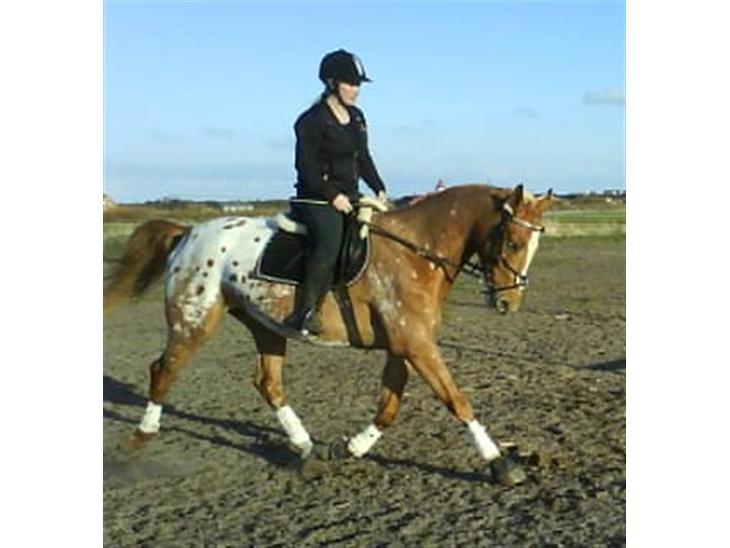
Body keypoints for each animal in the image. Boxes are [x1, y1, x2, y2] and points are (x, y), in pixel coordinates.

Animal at [104, 183, 554, 484]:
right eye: (513, 242)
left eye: (532, 247)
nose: (508, 304)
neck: (415, 252)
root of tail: (188, 233)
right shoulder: (416, 345)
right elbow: (456, 400)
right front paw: (500, 463)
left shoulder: (403, 347)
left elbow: (388, 408)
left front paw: (348, 447)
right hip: (195, 321)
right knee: (164, 370)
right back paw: (138, 440)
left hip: (266, 324)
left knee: (268, 383)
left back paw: (308, 449)